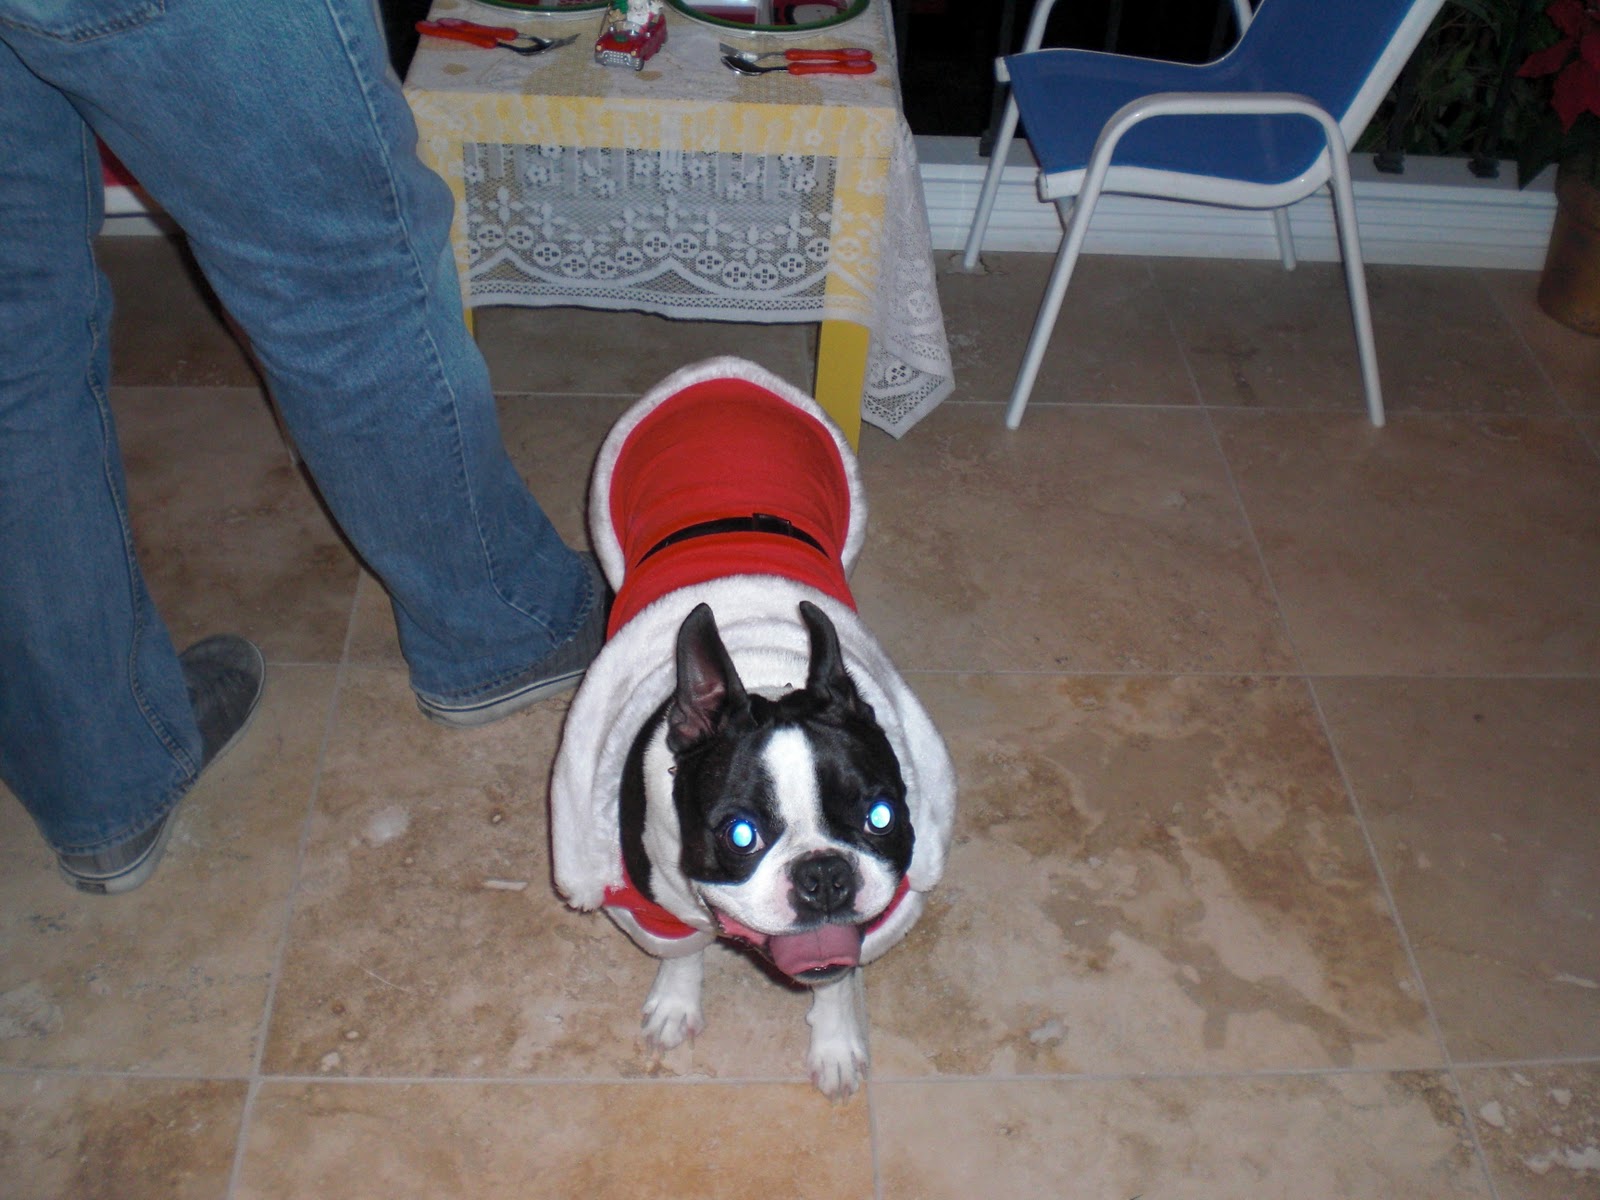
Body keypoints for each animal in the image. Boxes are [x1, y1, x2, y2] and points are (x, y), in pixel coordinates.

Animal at [550, 357, 955, 1097]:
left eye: (882, 817)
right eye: (740, 834)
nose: (824, 876)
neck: (768, 668)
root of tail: (725, 370)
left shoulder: (881, 909)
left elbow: (839, 974)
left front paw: (836, 1040)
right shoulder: (645, 901)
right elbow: (683, 949)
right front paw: (676, 1003)